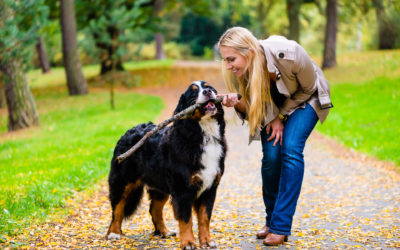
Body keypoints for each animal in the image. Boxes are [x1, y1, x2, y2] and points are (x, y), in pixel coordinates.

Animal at [105, 80, 225, 248]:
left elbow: (204, 218)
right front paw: (188, 243)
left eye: (209, 87)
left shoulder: (210, 188)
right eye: (194, 92)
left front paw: (207, 242)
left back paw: (164, 231)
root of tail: (128, 131)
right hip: (123, 182)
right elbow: (186, 219)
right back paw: (114, 233)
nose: (207, 92)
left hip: (160, 185)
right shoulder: (182, 189)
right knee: (117, 208)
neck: (203, 135)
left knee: (154, 209)